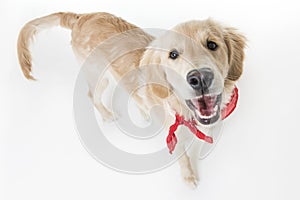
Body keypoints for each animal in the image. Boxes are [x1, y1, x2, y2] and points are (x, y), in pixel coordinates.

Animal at [17, 12, 246, 188]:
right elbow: (182, 157)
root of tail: (82, 17)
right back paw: (108, 115)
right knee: (92, 95)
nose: (200, 78)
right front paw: (189, 177)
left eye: (212, 44)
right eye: (173, 55)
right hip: (99, 76)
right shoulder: (173, 136)